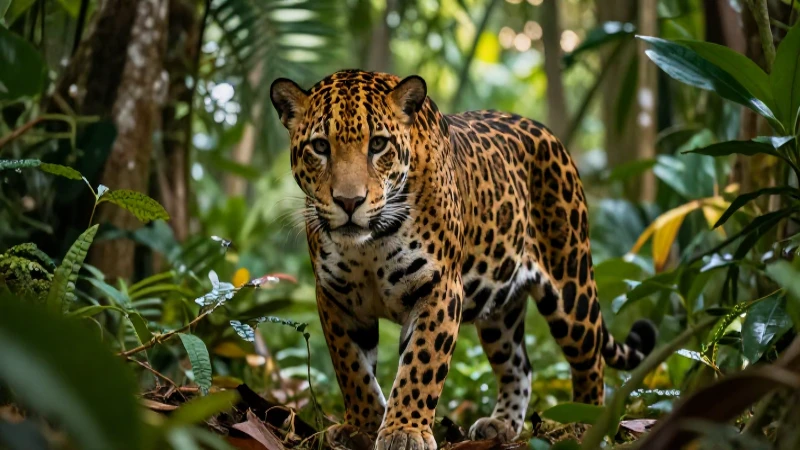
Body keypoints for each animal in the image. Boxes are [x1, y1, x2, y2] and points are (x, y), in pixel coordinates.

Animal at [269, 69, 656, 450]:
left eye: (378, 145)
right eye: (320, 147)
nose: (349, 202)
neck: (369, 243)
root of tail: (546, 133)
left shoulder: (438, 287)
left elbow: (421, 364)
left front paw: (404, 431)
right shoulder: (335, 297)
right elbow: (352, 368)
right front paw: (361, 426)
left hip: (571, 287)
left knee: (590, 360)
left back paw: (586, 424)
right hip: (500, 309)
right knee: (519, 365)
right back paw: (501, 425)